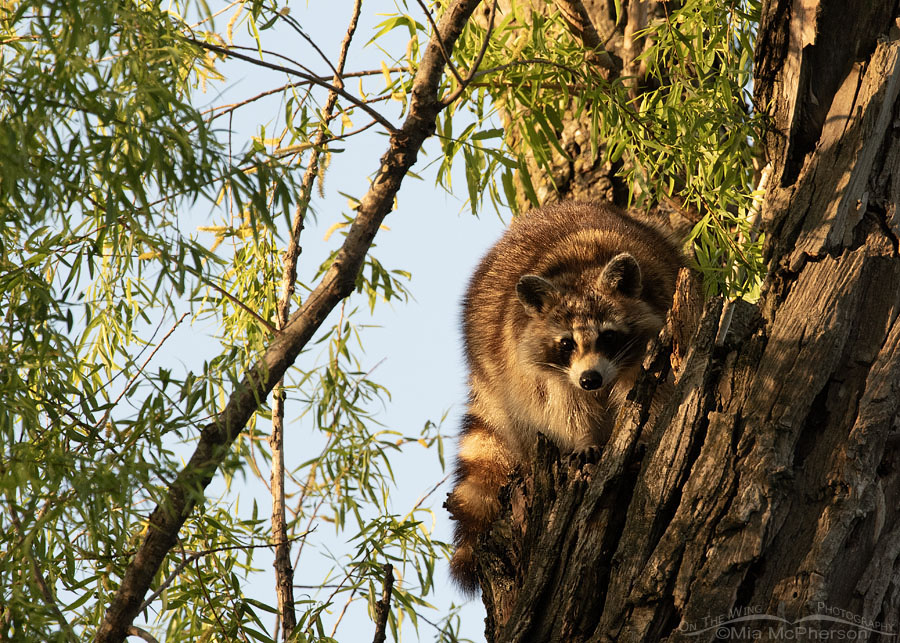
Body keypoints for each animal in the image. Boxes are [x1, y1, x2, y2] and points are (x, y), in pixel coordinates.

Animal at [446, 200, 680, 592]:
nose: (590, 379)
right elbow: (562, 407)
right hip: (492, 364)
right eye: (567, 343)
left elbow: (656, 390)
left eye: (608, 337)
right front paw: (583, 438)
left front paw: (647, 428)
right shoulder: (540, 369)